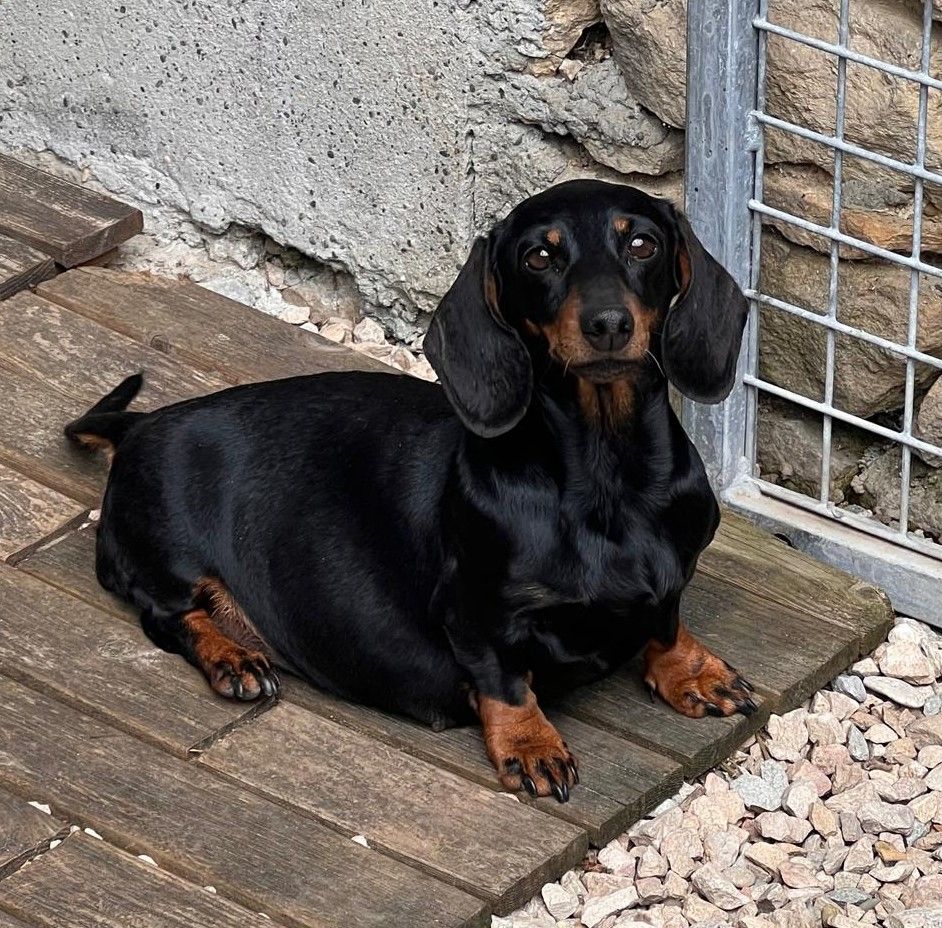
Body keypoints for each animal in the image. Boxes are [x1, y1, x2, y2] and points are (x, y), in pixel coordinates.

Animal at [68, 181, 752, 804]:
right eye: (540, 256)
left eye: (642, 244)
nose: (608, 324)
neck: (607, 480)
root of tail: (142, 425)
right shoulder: (474, 612)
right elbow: (505, 680)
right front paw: (530, 743)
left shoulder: (672, 573)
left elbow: (666, 620)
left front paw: (692, 671)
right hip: (167, 555)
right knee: (167, 614)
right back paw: (231, 658)